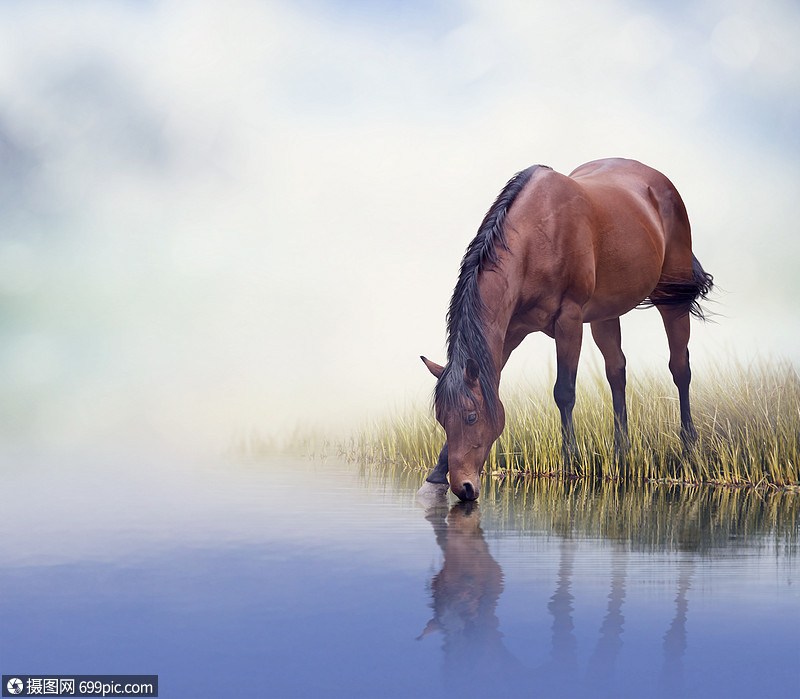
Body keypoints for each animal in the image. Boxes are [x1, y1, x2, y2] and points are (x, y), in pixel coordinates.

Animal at [418, 159, 712, 500]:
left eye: (471, 417)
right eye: (441, 418)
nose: (463, 488)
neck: (536, 238)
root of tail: (660, 182)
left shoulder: (568, 321)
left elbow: (564, 392)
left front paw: (570, 464)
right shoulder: (510, 331)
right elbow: (491, 381)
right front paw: (435, 476)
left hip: (671, 298)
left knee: (680, 368)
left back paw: (689, 446)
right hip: (605, 314)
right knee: (617, 371)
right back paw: (621, 452)